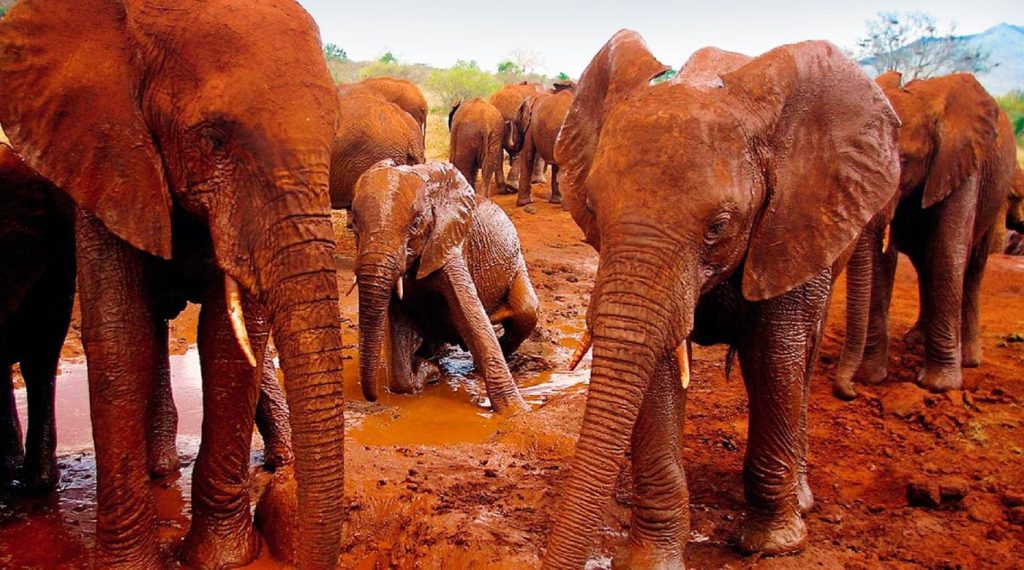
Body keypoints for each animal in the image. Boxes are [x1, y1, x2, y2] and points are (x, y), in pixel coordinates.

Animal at [0, 1, 346, 568]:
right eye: (212, 139)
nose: (285, 504)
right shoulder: (105, 151)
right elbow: (121, 337)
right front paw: (130, 564)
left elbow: (229, 342)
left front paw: (222, 557)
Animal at [350, 161, 537, 415]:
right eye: (354, 226)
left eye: (416, 225)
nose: (371, 398)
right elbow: (397, 328)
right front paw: (429, 372)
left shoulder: (449, 244)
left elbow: (472, 318)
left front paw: (516, 412)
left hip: (517, 264)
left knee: (526, 312)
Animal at [542, 31, 900, 568]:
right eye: (593, 210)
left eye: (718, 227)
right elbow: (661, 367)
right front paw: (652, 560)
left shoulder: (794, 219)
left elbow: (773, 356)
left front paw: (774, 545)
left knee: (800, 361)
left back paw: (801, 499)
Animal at [832, 71, 1018, 399]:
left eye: (904, 162)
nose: (849, 390)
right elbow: (882, 263)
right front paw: (871, 377)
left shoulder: (963, 163)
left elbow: (947, 251)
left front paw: (938, 385)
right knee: (923, 262)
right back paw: (916, 340)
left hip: (996, 196)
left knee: (971, 266)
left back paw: (969, 359)